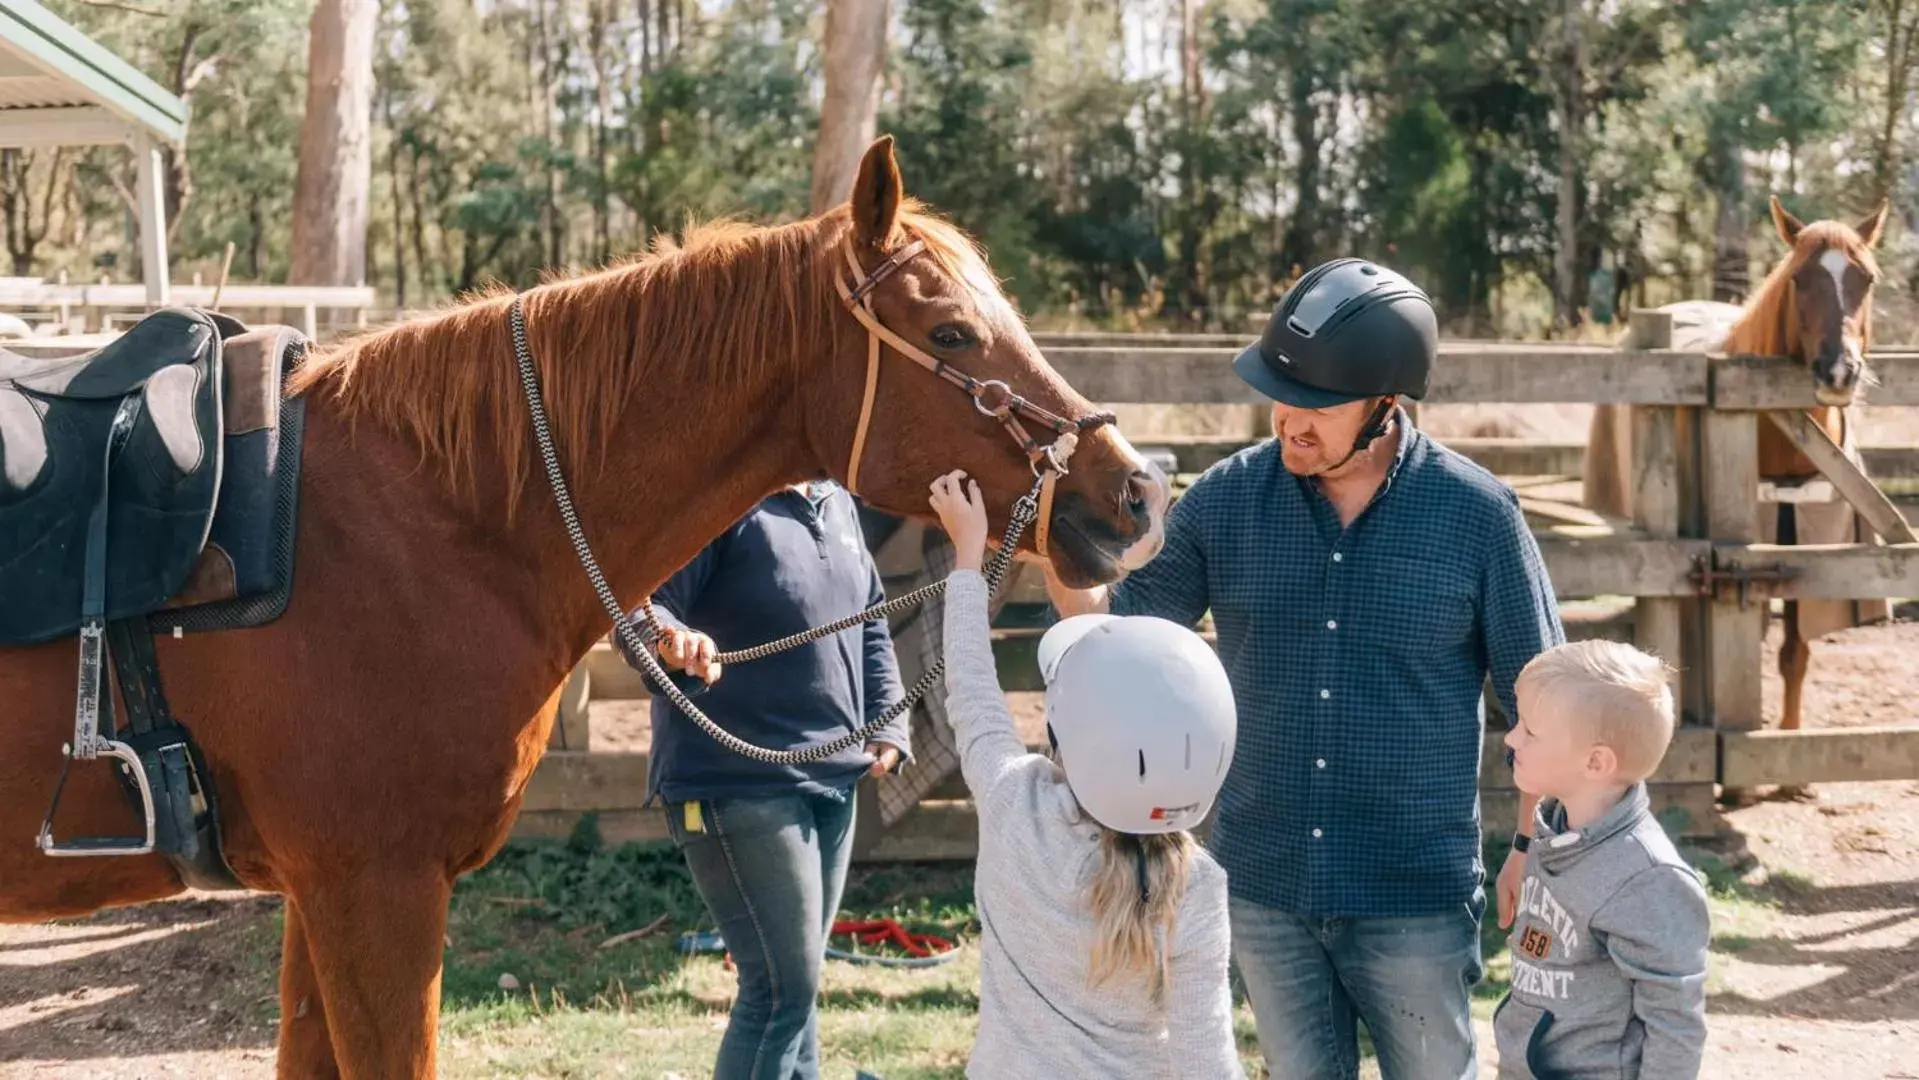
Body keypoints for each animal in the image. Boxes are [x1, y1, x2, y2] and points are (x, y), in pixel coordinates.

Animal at [1588, 195, 1888, 736]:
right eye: (1798, 278)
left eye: (1868, 279)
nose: (1838, 372)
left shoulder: (1812, 554)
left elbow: (1795, 654)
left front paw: (1790, 740)